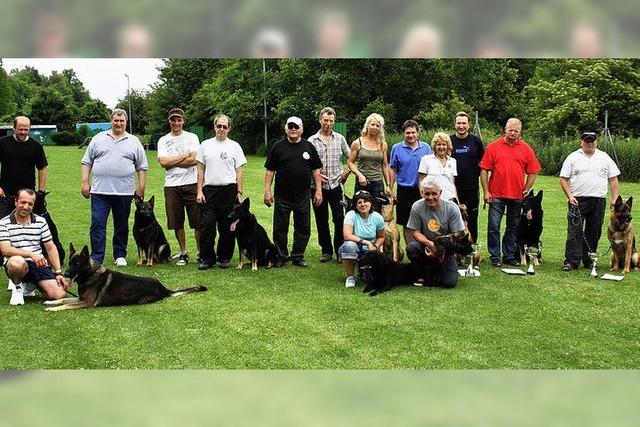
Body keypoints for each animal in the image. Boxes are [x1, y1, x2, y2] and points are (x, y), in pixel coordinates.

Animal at [43, 246, 208, 312]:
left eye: (77, 265)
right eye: (70, 263)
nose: (64, 274)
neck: (91, 274)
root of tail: (163, 288)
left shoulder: (86, 302)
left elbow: (66, 304)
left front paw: (53, 308)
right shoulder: (80, 298)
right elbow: (64, 299)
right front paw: (51, 302)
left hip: (142, 300)